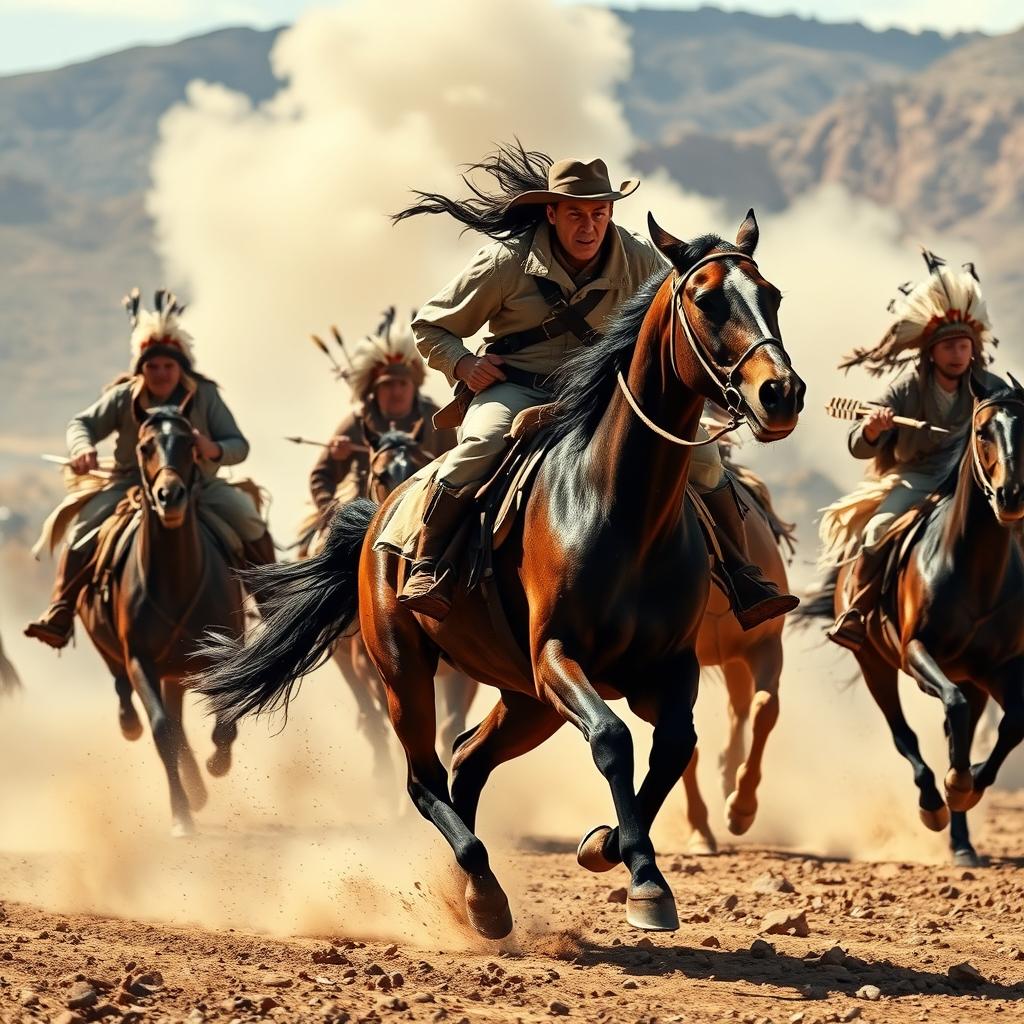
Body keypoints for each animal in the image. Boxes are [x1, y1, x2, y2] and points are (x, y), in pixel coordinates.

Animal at [79, 403, 245, 835]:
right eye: (145, 445)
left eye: (189, 443)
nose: (169, 496)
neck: (175, 580)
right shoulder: (141, 660)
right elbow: (161, 729)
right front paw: (181, 814)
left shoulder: (221, 653)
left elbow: (225, 718)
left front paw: (216, 764)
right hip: (121, 653)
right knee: (131, 695)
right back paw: (132, 726)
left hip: (178, 671)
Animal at [684, 471, 794, 856]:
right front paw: (700, 833)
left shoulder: (765, 645)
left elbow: (765, 710)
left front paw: (742, 809)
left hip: (734, 659)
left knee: (740, 708)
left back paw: (729, 775)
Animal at [798, 376, 1024, 864]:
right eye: (983, 432)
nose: (1011, 496)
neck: (972, 570)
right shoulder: (916, 652)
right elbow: (950, 710)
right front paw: (953, 789)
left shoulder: (998, 668)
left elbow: (1010, 723)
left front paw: (970, 782)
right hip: (874, 664)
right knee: (905, 734)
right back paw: (934, 805)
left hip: (972, 680)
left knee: (956, 731)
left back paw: (962, 841)